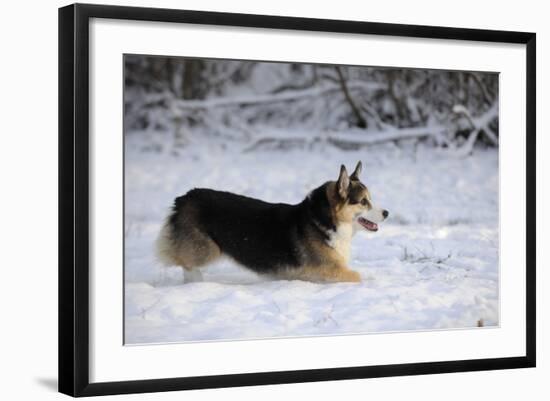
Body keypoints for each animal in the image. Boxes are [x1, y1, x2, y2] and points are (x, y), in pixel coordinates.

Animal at [155, 161, 388, 282]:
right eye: (364, 202)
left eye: (371, 199)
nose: (386, 213)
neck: (325, 220)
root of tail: (184, 198)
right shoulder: (329, 269)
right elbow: (358, 276)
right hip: (207, 249)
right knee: (182, 260)